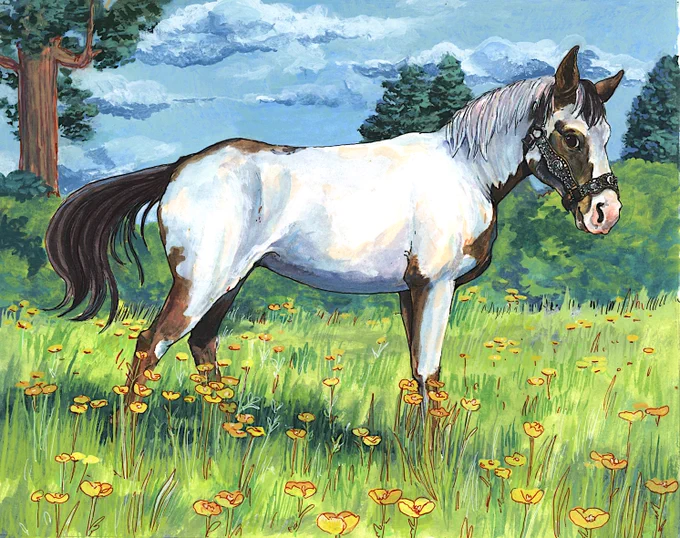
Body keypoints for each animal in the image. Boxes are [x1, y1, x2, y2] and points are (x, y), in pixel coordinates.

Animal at [45, 46, 624, 403]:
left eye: (606, 133)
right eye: (571, 135)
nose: (605, 212)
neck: (465, 170)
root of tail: (180, 168)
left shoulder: (410, 292)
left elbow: (418, 376)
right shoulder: (435, 286)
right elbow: (430, 376)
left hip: (229, 283)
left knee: (202, 348)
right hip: (201, 282)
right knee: (152, 345)